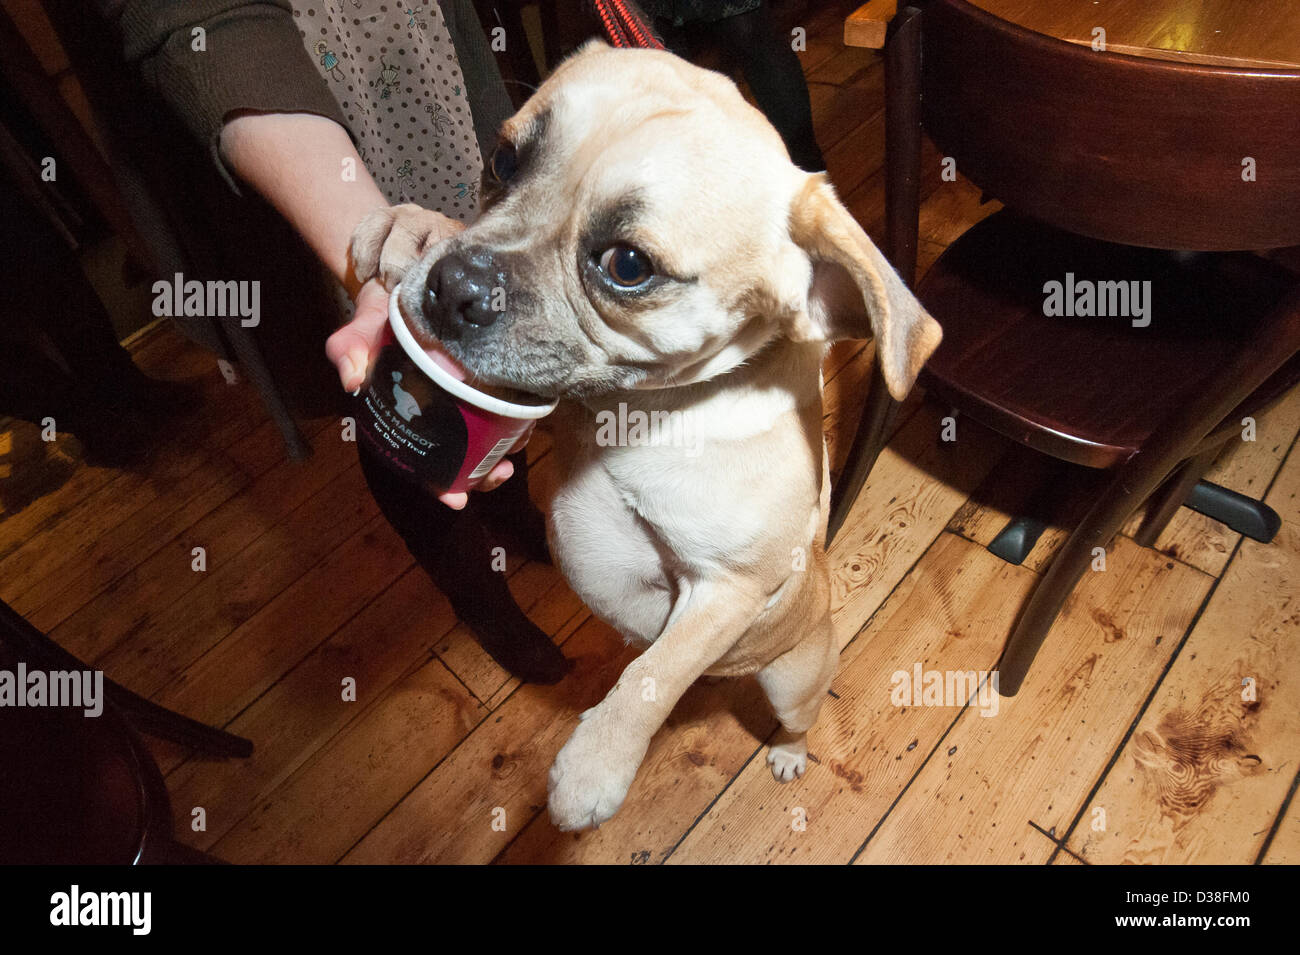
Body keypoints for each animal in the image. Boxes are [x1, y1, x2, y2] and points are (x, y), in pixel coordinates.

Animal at [356, 39, 941, 831]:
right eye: (503, 160)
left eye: (627, 266)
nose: (456, 286)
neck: (633, 413)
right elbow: (651, 665)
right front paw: (409, 229)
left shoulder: (725, 587)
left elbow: (655, 673)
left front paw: (596, 763)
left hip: (793, 680)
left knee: (793, 715)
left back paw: (787, 751)